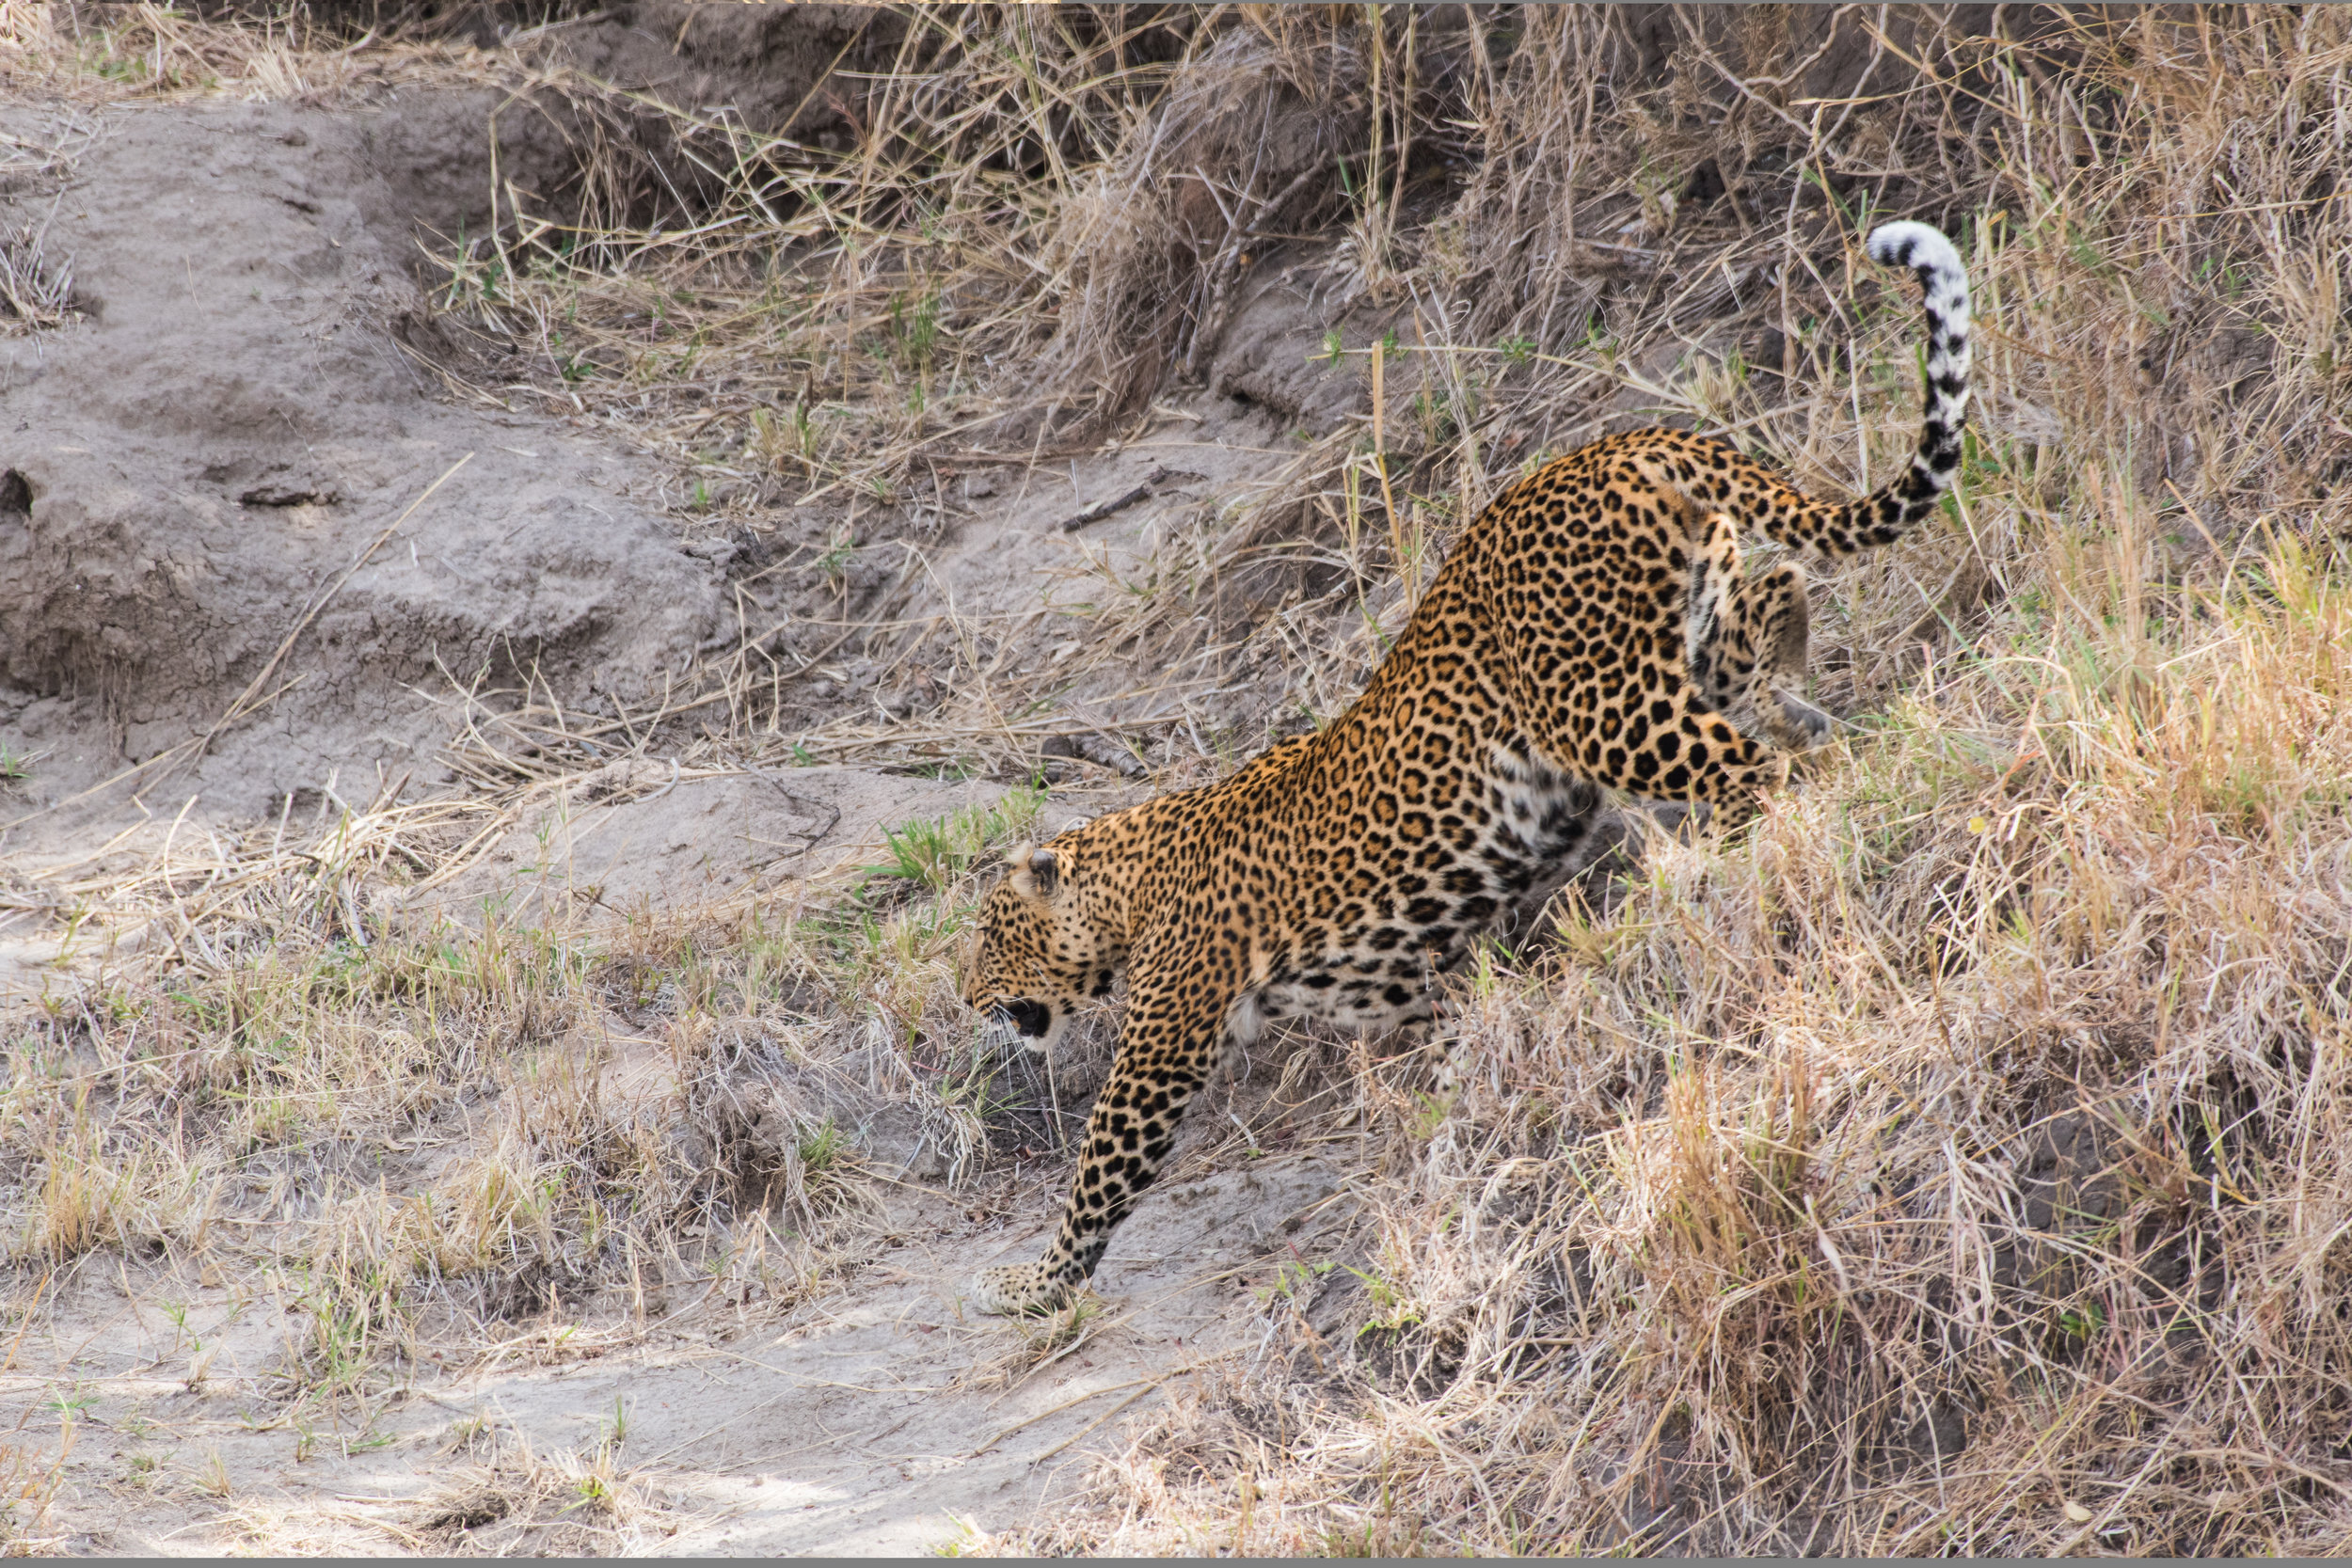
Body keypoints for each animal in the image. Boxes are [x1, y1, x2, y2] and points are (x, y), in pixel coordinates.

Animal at [955, 217, 1966, 1316]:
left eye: (990, 935)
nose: (965, 1001)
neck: (1128, 885)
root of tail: (1630, 442)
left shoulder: (1163, 1042)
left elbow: (1098, 1171)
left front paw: (1028, 1286)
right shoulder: (1395, 983)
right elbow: (1446, 1019)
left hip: (1602, 708)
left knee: (1755, 768)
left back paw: (1754, 845)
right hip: (1685, 639)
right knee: (1779, 599)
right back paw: (1806, 713)